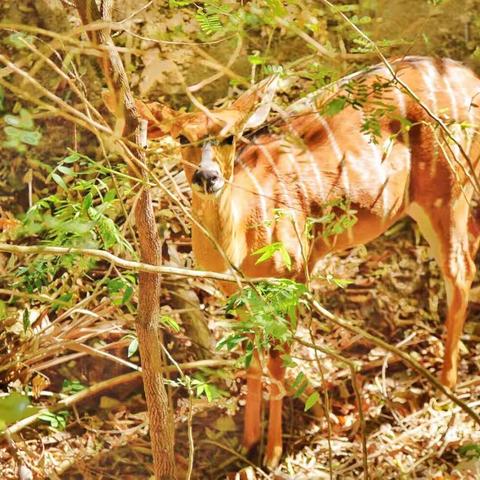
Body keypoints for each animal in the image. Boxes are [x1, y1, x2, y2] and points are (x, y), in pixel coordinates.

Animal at [136, 57, 480, 468]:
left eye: (230, 136)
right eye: (182, 138)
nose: (207, 176)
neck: (239, 249)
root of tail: (469, 76)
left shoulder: (294, 274)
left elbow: (277, 360)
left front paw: (273, 454)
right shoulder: (241, 296)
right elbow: (252, 358)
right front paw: (248, 442)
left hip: (445, 187)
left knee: (459, 270)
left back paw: (446, 386)